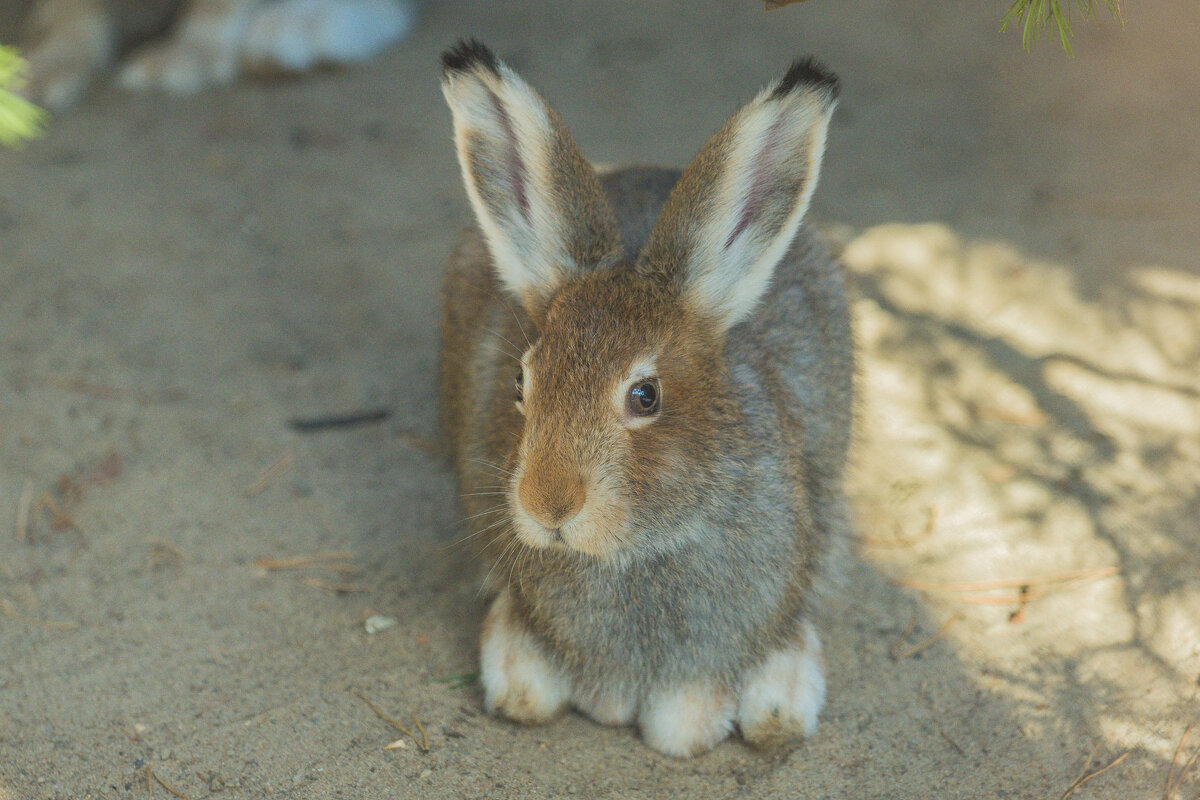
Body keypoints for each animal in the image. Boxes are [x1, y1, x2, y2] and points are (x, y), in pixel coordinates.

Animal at [441, 40, 854, 762]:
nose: (549, 504)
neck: (639, 549)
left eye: (645, 395)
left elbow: (686, 727)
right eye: (521, 383)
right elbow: (530, 696)